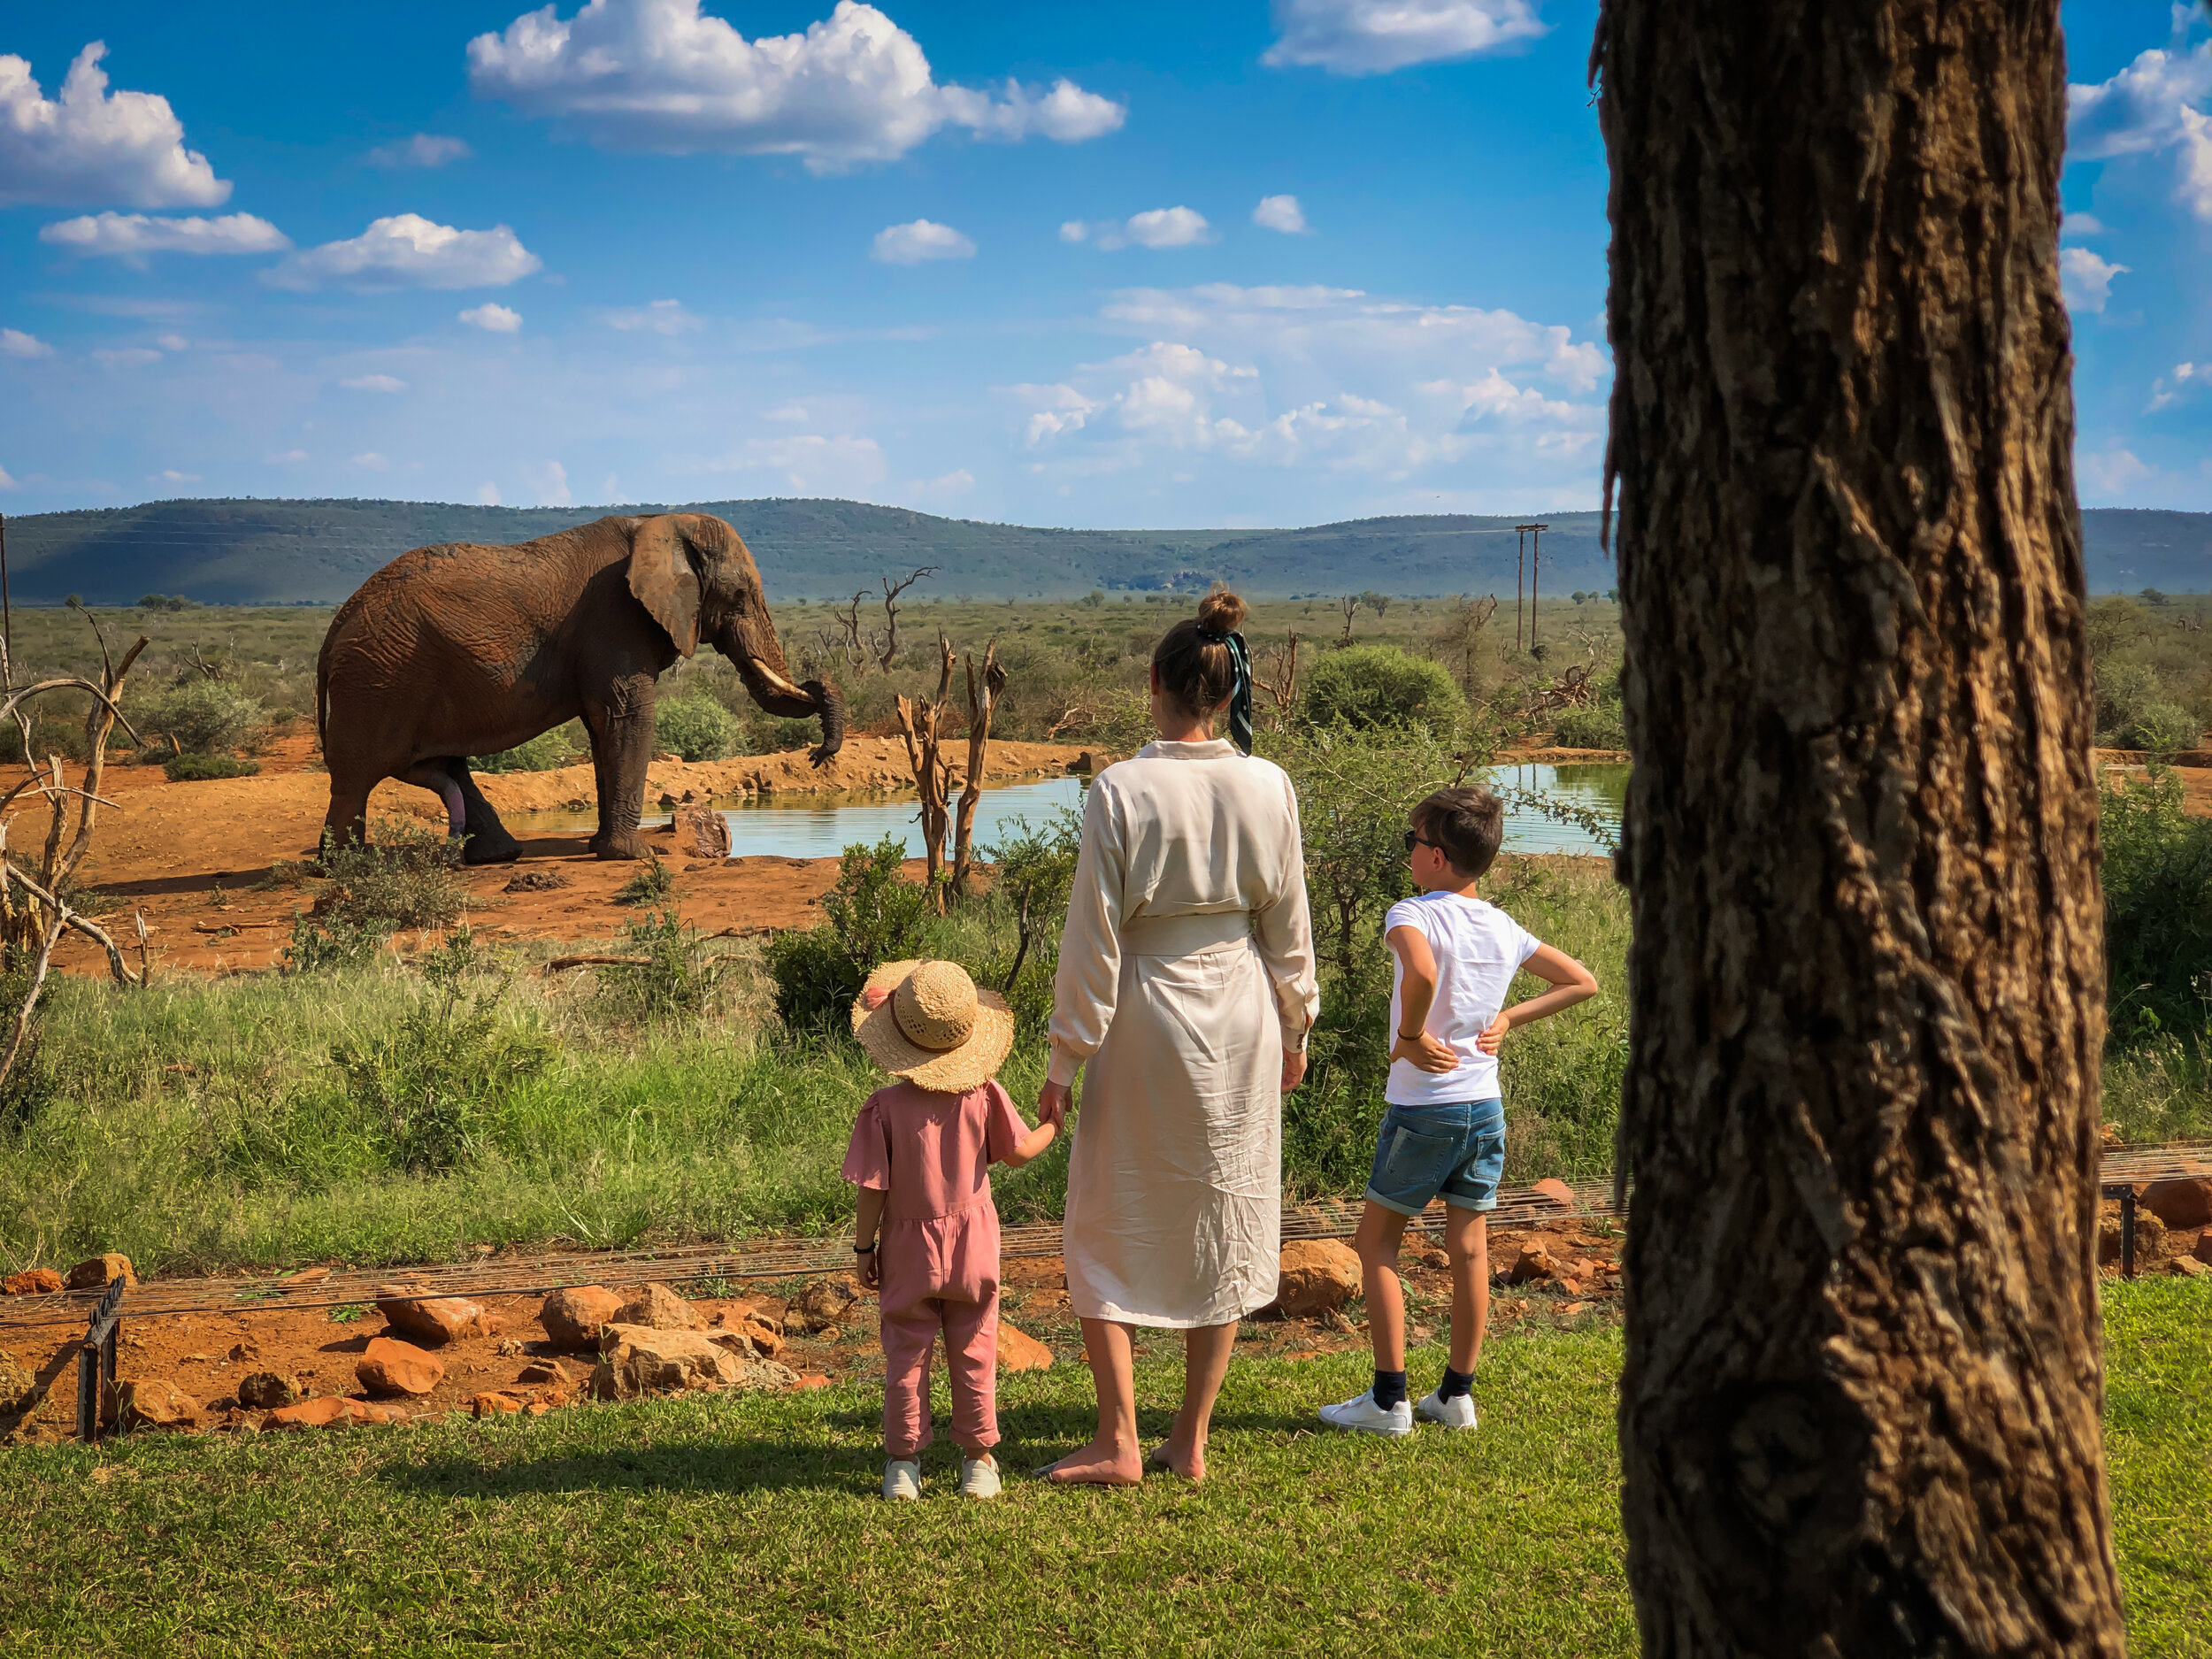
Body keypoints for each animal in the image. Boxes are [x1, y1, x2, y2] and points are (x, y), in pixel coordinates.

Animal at [320, 513, 845, 863]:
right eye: (739, 596)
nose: (818, 756)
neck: (661, 522)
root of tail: (339, 620)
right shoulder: (614, 617)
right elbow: (630, 717)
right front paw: (633, 856)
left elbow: (603, 727)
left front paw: (602, 848)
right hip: (379, 677)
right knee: (357, 780)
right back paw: (345, 866)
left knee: (447, 767)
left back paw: (499, 855)